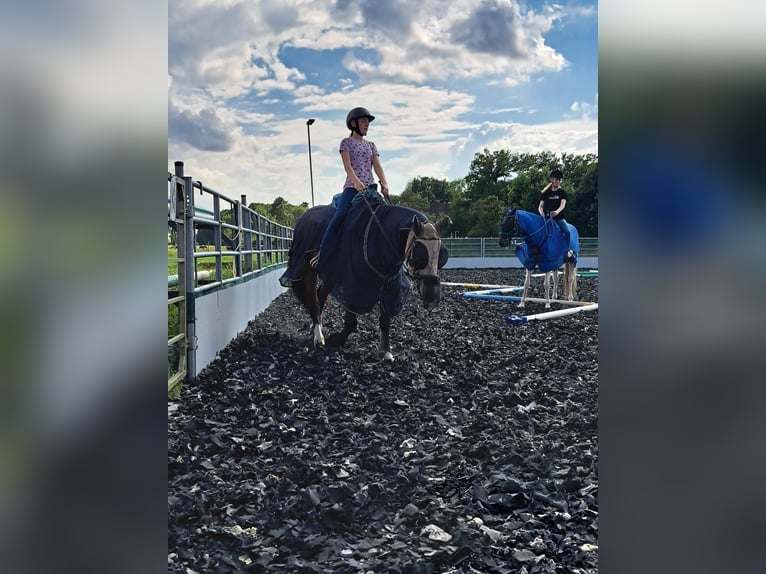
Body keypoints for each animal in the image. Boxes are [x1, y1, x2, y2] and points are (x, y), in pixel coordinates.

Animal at [279, 196, 449, 361]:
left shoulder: (389, 282)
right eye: (418, 256)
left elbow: (385, 321)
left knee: (320, 296)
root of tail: (304, 217)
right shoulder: (352, 283)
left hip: (330, 273)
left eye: (440, 258)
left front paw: (386, 351)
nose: (432, 296)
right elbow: (351, 321)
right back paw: (318, 337)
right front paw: (337, 339)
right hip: (307, 269)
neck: (380, 237)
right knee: (313, 300)